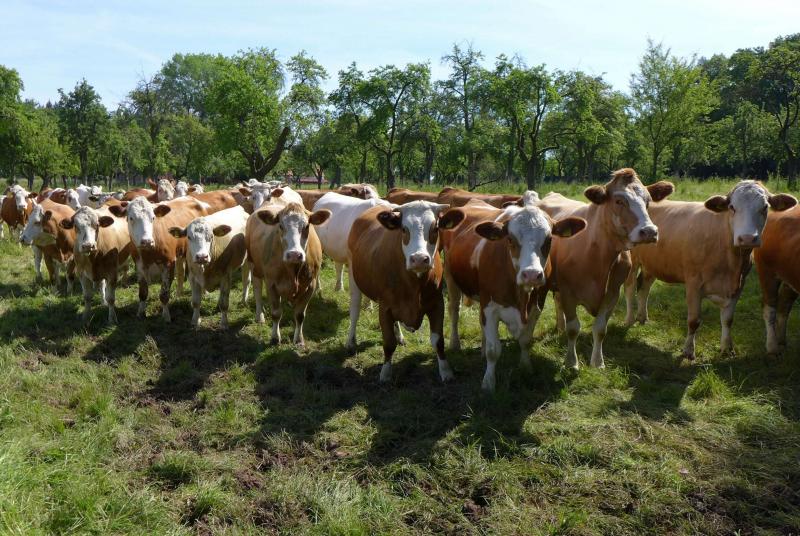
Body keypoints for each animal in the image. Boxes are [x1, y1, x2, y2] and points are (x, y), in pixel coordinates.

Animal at [244, 202, 330, 347]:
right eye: (280, 225)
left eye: (307, 226)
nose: (294, 254)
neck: (292, 270)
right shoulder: (271, 284)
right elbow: (276, 313)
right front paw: (275, 338)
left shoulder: (311, 286)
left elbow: (300, 315)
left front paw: (299, 340)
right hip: (253, 264)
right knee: (257, 288)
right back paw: (259, 316)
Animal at [346, 201, 465, 383]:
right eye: (403, 229)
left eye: (435, 228)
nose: (419, 259)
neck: (414, 284)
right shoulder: (385, 307)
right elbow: (388, 343)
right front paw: (385, 374)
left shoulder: (437, 303)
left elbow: (438, 341)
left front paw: (446, 372)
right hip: (353, 275)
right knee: (355, 309)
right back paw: (351, 341)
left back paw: (400, 336)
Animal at [442, 193, 586, 391]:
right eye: (510, 239)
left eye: (549, 240)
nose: (531, 274)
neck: (520, 297)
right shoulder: (490, 307)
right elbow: (493, 350)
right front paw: (488, 382)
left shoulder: (536, 305)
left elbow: (525, 340)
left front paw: (525, 366)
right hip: (451, 278)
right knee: (454, 311)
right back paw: (455, 343)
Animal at [538, 168, 674, 369]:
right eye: (619, 201)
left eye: (648, 201)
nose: (649, 231)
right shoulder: (568, 291)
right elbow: (573, 329)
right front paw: (571, 362)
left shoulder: (613, 293)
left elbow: (600, 329)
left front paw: (597, 362)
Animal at [755, 204, 800, 354]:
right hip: (766, 271)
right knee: (769, 307)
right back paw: (772, 347)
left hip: (789, 276)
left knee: (784, 303)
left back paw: (781, 341)